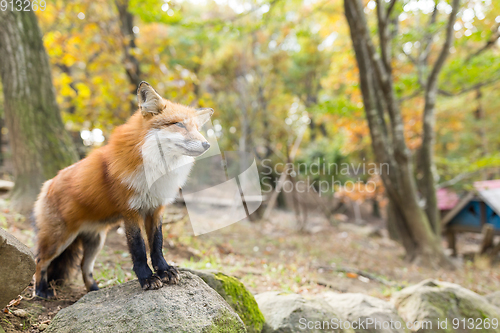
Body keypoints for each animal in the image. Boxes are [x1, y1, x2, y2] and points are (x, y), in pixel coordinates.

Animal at [33, 81, 213, 296]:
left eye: (197, 128)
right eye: (179, 124)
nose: (207, 144)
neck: (156, 169)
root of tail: (47, 184)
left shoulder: (156, 208)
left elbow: (157, 244)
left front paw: (164, 270)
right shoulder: (131, 211)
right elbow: (138, 249)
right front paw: (147, 278)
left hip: (96, 242)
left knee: (84, 266)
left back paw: (94, 290)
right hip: (59, 239)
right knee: (40, 260)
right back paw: (41, 290)